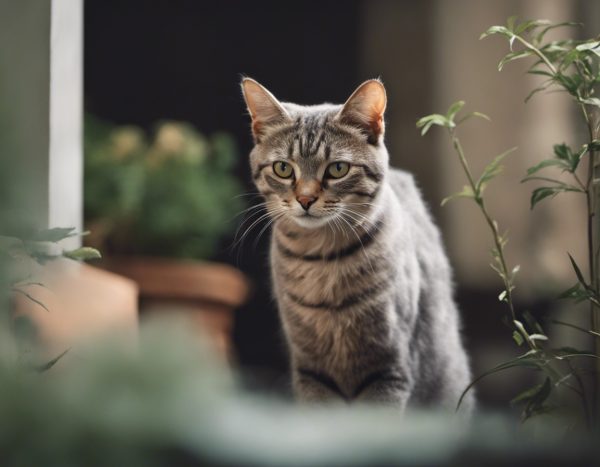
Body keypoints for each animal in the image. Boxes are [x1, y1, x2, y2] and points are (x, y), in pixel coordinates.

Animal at [240, 78, 474, 414]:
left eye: (337, 169)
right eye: (283, 168)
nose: (305, 199)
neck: (321, 259)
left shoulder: (390, 367)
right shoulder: (311, 371)